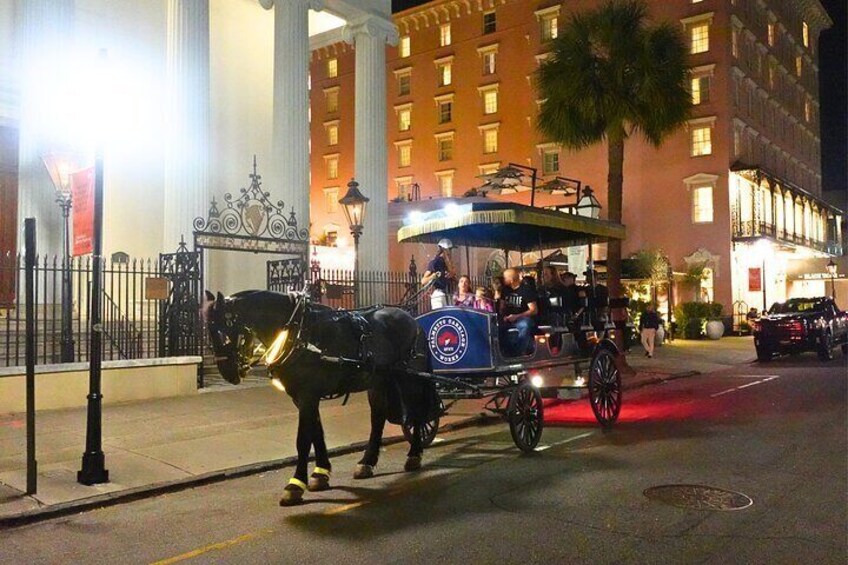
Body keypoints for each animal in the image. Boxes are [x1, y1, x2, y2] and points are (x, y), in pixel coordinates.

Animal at [202, 288, 434, 504]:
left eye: (223, 330)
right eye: (208, 330)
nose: (227, 373)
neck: (297, 331)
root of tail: (412, 320)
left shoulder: (308, 395)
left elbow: (303, 439)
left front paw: (295, 484)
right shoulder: (302, 397)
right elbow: (316, 432)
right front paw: (320, 473)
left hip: (411, 379)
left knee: (417, 415)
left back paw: (414, 455)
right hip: (378, 382)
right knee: (378, 418)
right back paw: (367, 462)